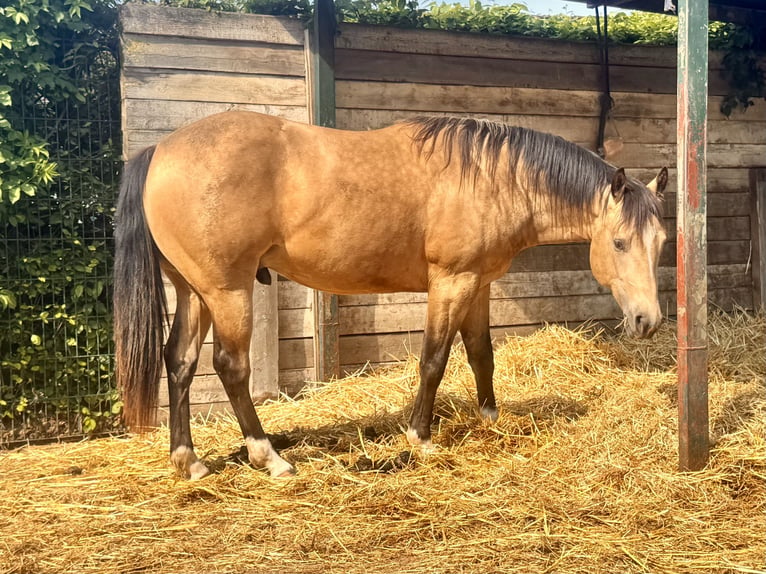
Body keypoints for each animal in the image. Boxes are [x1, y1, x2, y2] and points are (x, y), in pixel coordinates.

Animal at [114, 112, 668, 480]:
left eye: (661, 241)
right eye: (619, 243)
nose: (648, 321)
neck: (493, 178)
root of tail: (160, 151)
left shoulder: (480, 283)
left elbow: (481, 354)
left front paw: (490, 419)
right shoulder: (451, 282)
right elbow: (435, 361)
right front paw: (421, 438)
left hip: (194, 291)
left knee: (179, 362)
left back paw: (188, 460)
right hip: (227, 291)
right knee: (231, 368)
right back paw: (270, 457)